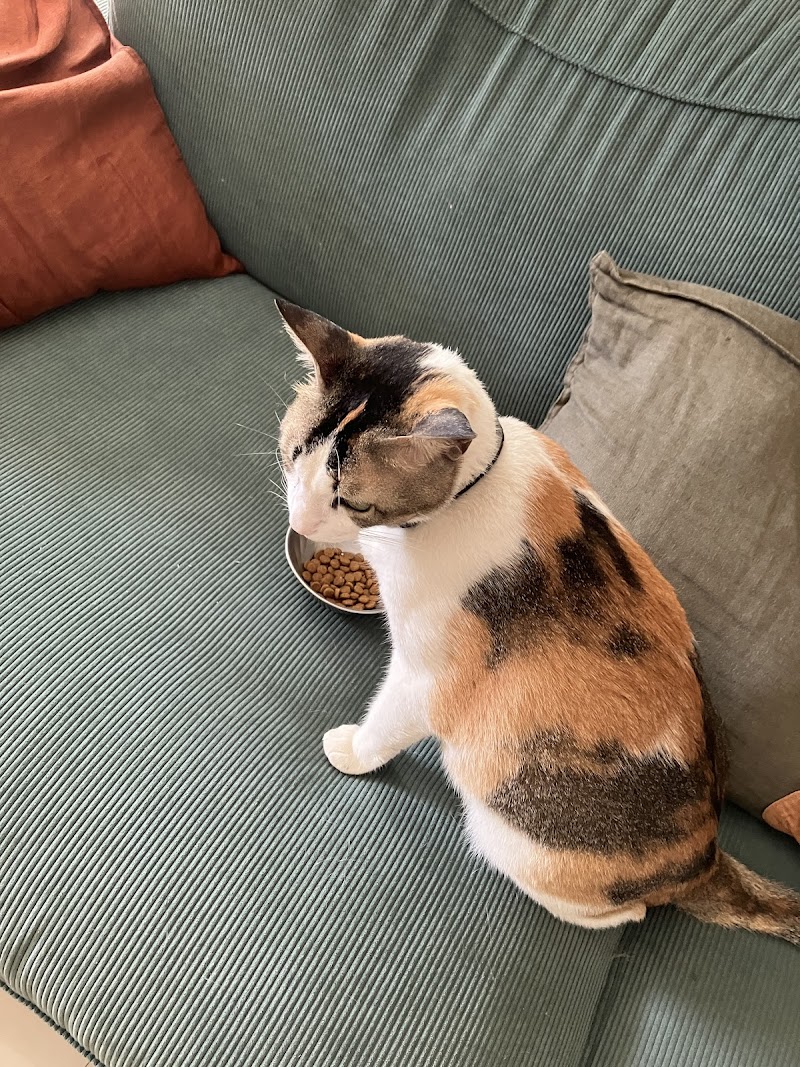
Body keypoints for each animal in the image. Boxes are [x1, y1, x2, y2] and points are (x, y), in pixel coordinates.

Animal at [276, 297, 800, 944]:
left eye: (353, 500)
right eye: (292, 456)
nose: (300, 519)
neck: (475, 489)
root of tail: (708, 860)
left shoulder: (431, 678)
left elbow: (388, 721)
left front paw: (351, 750)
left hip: (509, 827)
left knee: (621, 911)